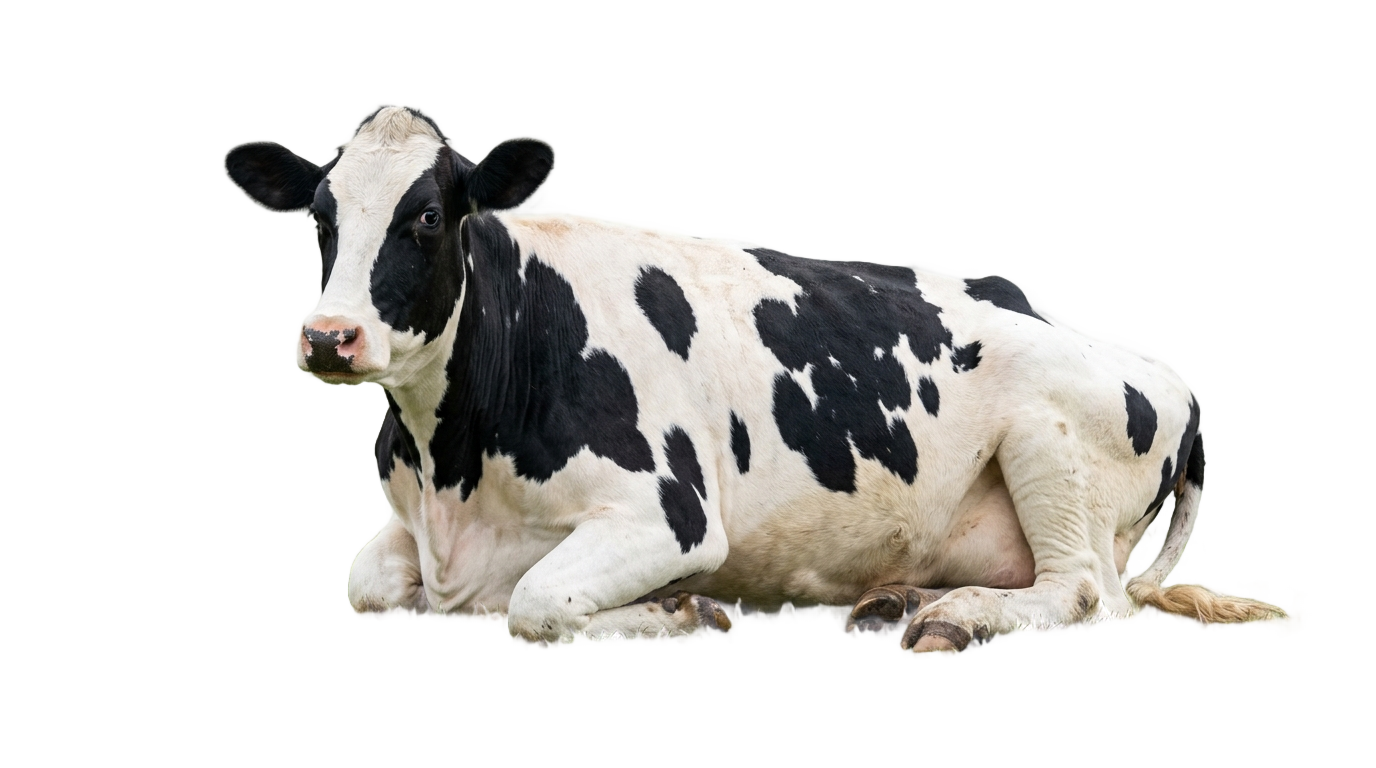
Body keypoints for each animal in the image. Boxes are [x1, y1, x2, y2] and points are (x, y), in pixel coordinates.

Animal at [225, 105, 1280, 652]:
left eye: (430, 216)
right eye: (320, 219)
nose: (329, 338)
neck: (454, 474)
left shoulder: (669, 514)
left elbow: (532, 606)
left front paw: (675, 612)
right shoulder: (410, 534)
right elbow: (365, 586)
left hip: (1048, 438)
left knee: (1088, 595)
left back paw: (956, 616)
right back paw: (899, 599)